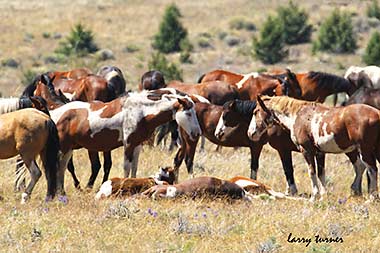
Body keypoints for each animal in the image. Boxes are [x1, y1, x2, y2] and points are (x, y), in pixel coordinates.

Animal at [48, 90, 202, 197]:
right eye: (188, 113)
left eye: (195, 112)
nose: (197, 133)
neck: (141, 112)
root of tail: (53, 114)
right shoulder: (128, 145)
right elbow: (127, 169)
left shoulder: (137, 145)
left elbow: (134, 169)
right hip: (64, 147)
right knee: (60, 167)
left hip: (68, 148)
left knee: (62, 167)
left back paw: (62, 192)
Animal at [248, 96, 380, 201]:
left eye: (255, 112)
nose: (250, 133)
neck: (298, 116)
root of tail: (377, 114)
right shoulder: (319, 153)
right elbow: (321, 174)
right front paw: (323, 196)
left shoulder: (306, 151)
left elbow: (311, 172)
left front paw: (314, 196)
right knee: (363, 167)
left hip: (364, 150)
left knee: (372, 169)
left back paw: (371, 198)